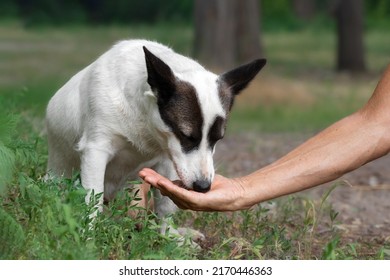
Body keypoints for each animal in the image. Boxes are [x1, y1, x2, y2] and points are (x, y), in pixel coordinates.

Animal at [45, 38, 266, 236]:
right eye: (185, 135)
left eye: (217, 139)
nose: (203, 187)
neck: (143, 120)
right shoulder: (96, 150)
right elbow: (92, 201)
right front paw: (88, 237)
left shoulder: (169, 160)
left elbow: (165, 207)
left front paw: (166, 238)